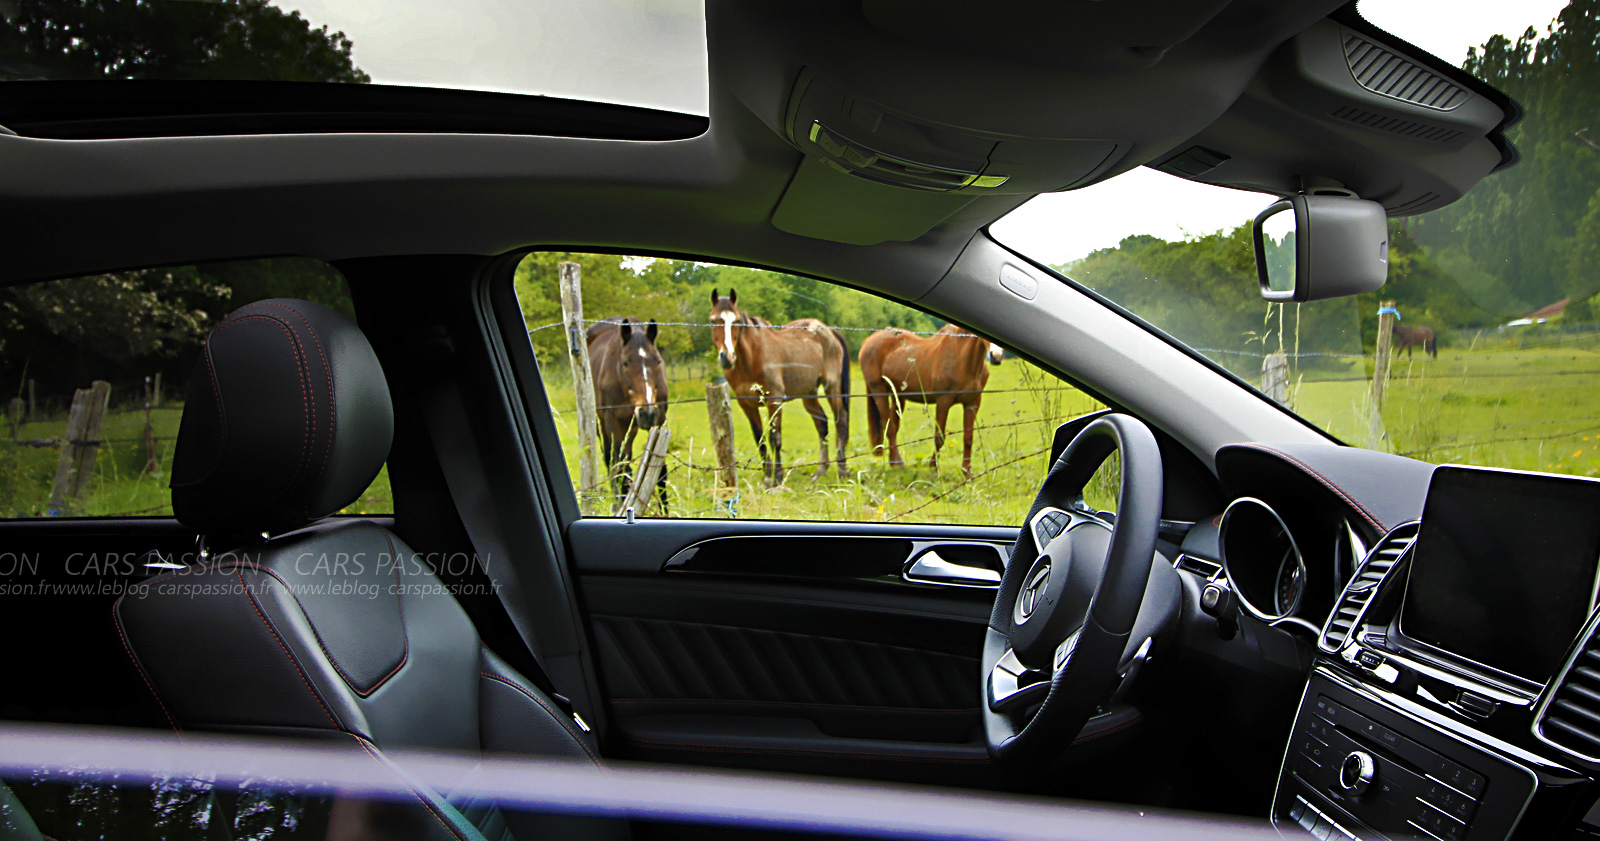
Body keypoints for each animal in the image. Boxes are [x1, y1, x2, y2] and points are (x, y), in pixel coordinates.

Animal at [585, 318, 665, 511]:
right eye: (626, 362)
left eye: (657, 361)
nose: (647, 413)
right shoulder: (613, 424)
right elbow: (619, 464)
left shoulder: (660, 420)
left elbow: (661, 469)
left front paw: (666, 509)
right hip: (605, 428)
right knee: (612, 461)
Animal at [704, 290, 844, 489]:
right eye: (713, 320)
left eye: (736, 321)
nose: (727, 358)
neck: (752, 358)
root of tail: (828, 331)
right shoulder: (747, 404)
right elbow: (759, 439)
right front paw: (766, 477)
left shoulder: (774, 400)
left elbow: (774, 438)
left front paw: (777, 477)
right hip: (808, 394)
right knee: (822, 424)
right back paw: (820, 472)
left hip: (832, 387)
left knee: (841, 422)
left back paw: (843, 470)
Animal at [864, 324, 998, 482]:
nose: (996, 356)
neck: (962, 357)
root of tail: (869, 340)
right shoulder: (943, 402)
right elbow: (939, 438)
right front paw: (933, 470)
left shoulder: (972, 403)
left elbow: (968, 438)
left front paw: (967, 473)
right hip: (879, 392)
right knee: (889, 428)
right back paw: (899, 464)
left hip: (897, 395)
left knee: (894, 428)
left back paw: (894, 464)